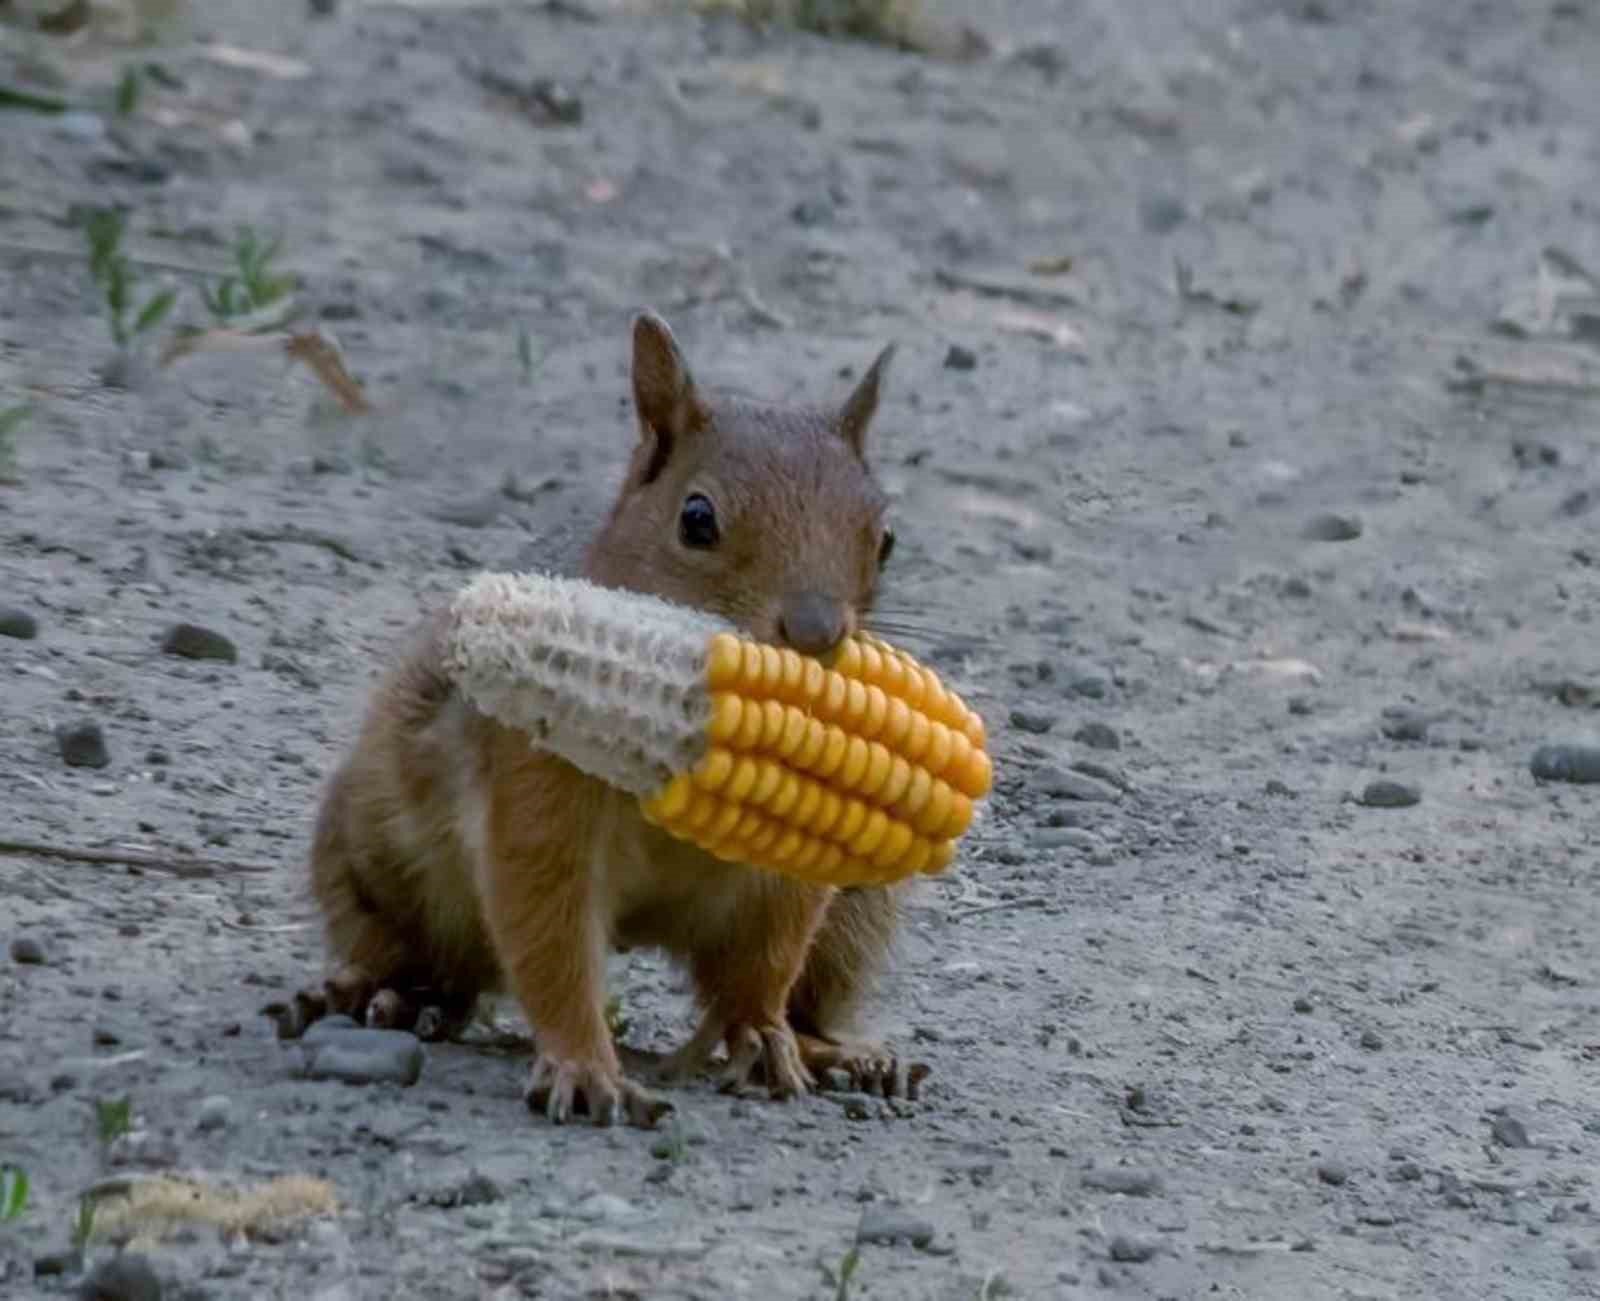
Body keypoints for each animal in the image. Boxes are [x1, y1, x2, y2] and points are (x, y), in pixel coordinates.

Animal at [278, 308, 928, 1120]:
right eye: (696, 519)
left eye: (887, 539)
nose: (815, 633)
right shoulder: (537, 789)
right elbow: (548, 929)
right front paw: (583, 1064)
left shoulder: (801, 854)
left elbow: (769, 957)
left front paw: (763, 1033)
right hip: (369, 851)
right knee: (423, 958)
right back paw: (382, 995)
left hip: (861, 910)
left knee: (810, 990)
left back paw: (843, 1054)